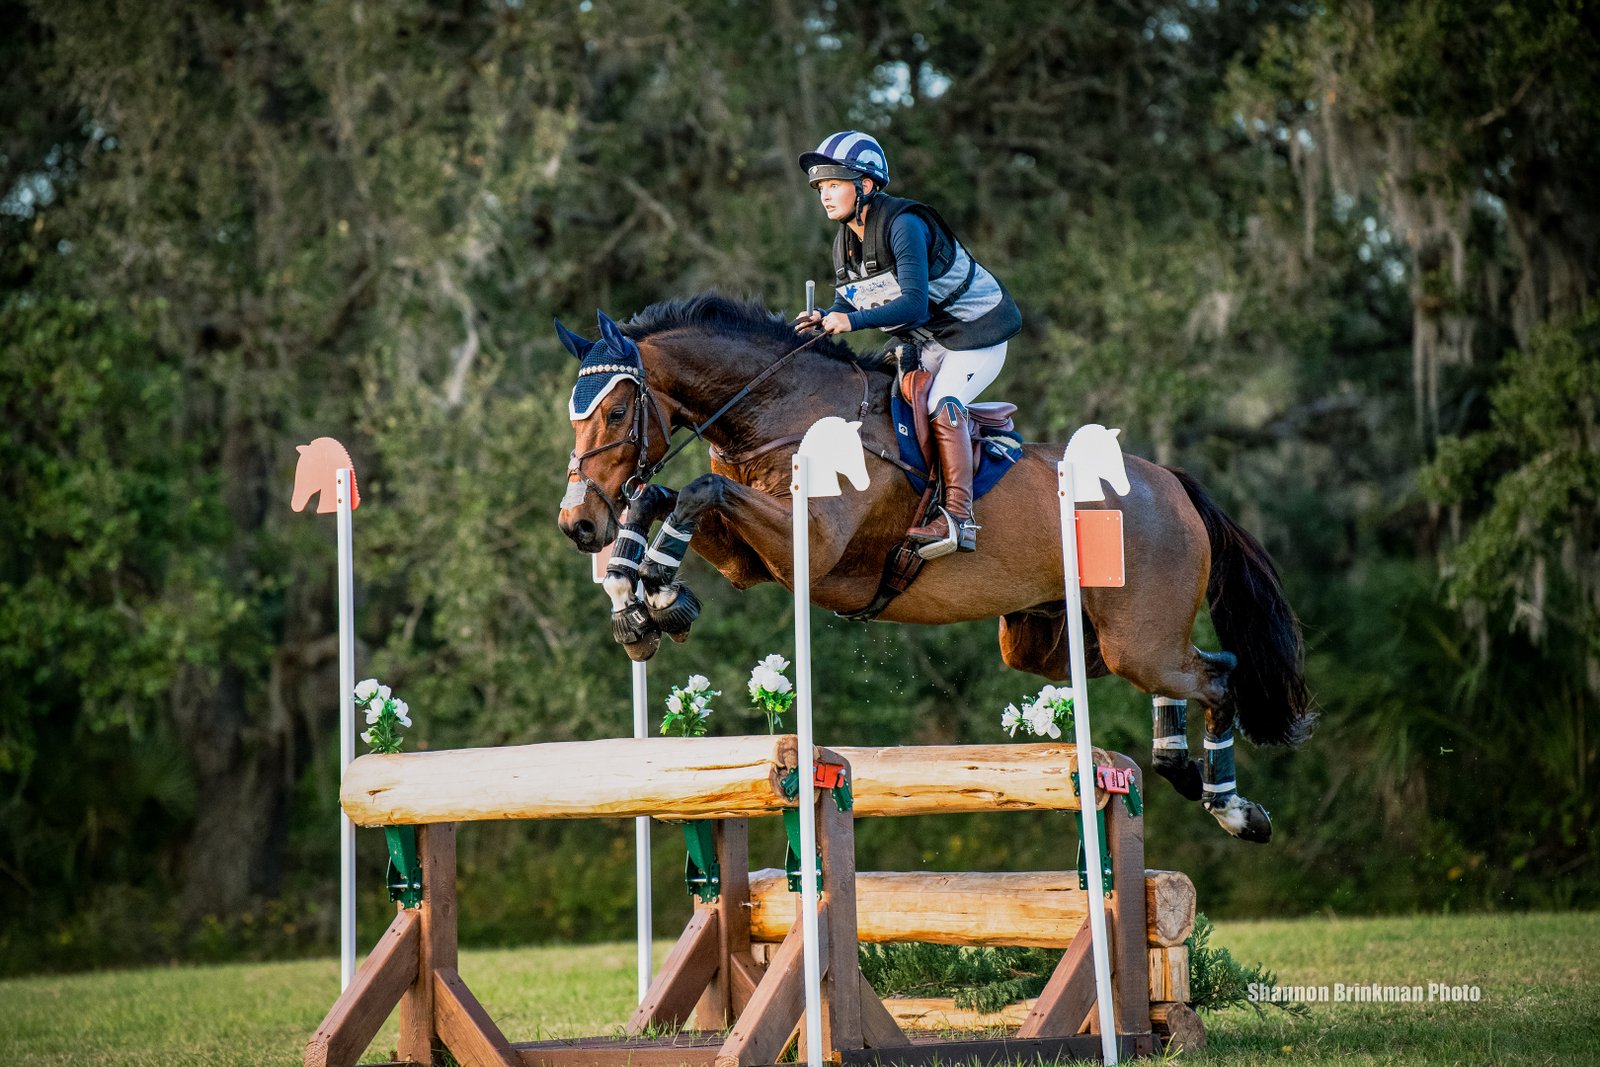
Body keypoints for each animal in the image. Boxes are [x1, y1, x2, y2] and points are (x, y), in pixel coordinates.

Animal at [555, 294, 1314, 842]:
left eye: (616, 411)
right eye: (576, 419)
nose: (577, 524)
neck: (784, 411)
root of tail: (1173, 483)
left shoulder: (809, 547)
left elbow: (695, 492)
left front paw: (658, 593)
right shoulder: (751, 556)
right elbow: (664, 495)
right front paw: (634, 597)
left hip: (1135, 636)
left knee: (1216, 676)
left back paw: (1234, 810)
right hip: (1051, 640)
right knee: (1195, 668)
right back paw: (1180, 764)